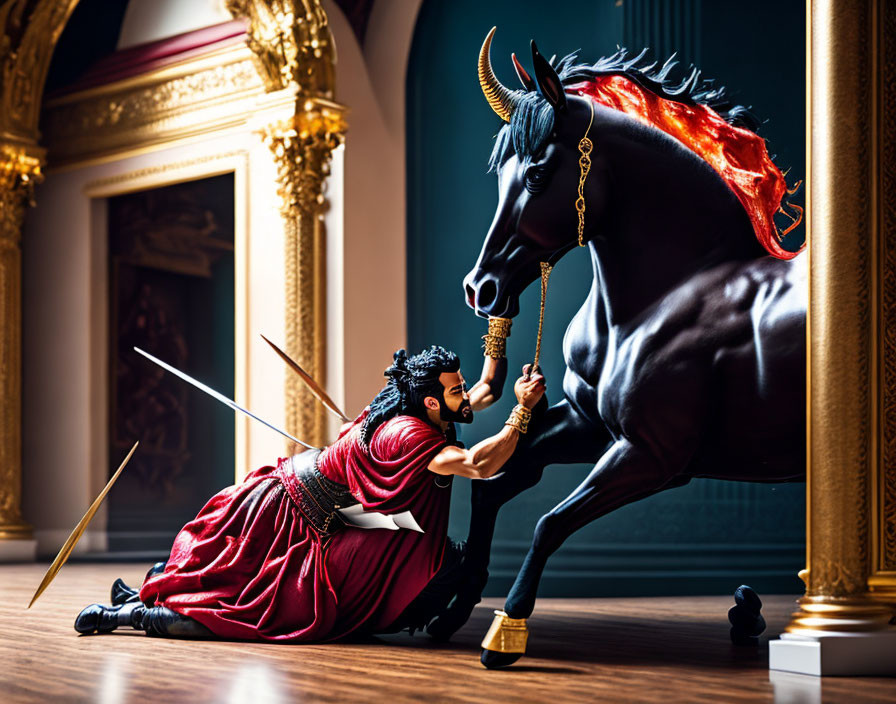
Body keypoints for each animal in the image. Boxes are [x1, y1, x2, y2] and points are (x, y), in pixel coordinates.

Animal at [426, 30, 804, 668]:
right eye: (501, 175)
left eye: (537, 174)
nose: (480, 290)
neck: (672, 291)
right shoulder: (589, 425)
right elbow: (495, 486)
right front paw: (449, 606)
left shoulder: (651, 457)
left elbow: (550, 522)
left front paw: (506, 630)